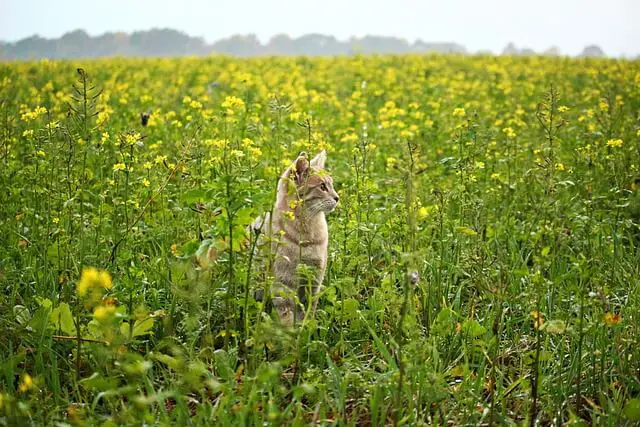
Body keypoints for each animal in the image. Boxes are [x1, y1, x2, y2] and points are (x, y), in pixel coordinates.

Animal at [251, 151, 340, 328]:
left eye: (332, 185)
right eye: (322, 187)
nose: (337, 197)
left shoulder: (314, 279)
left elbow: (308, 309)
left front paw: (305, 328)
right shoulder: (283, 282)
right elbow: (286, 314)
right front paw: (289, 331)